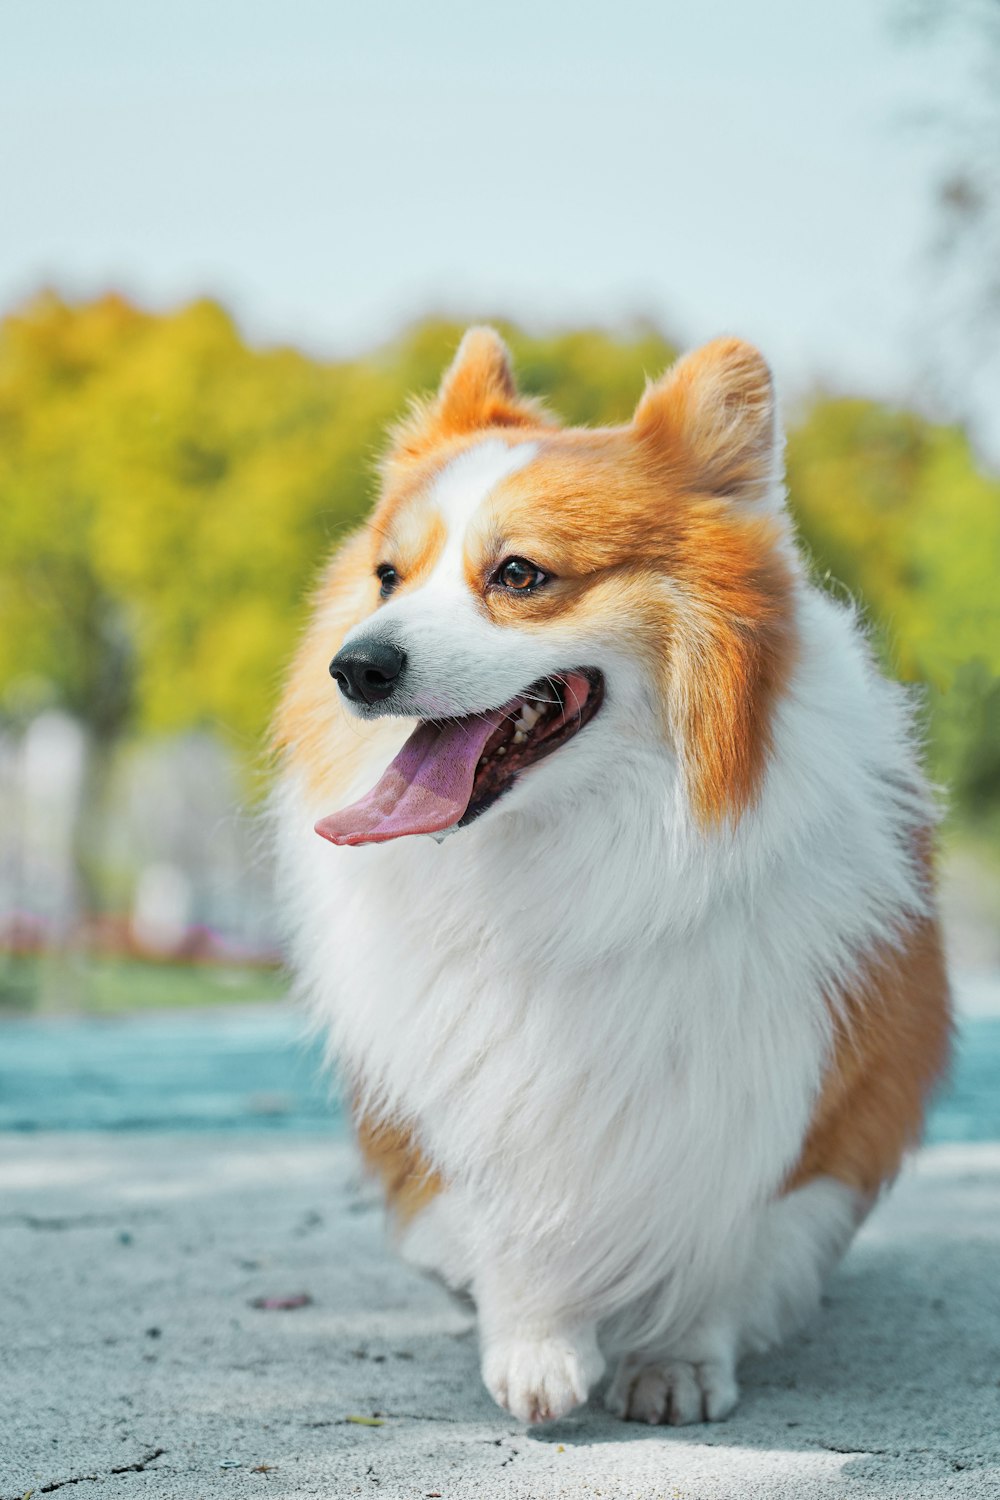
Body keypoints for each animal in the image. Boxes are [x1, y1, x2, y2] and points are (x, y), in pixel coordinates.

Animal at [275, 328, 953, 1428]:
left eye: (518, 573)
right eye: (387, 576)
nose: (356, 667)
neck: (585, 856)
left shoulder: (769, 1096)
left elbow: (715, 1241)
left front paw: (675, 1362)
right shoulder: (474, 1094)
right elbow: (512, 1228)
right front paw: (534, 1350)